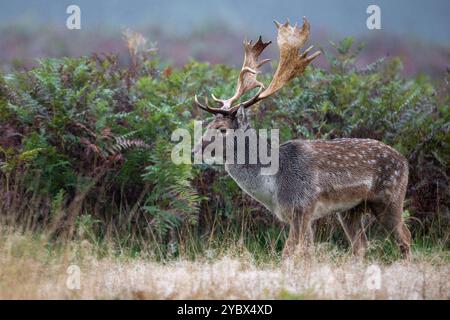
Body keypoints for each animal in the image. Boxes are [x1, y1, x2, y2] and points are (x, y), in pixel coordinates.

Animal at [192, 17, 412, 258]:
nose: (195, 150)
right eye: (208, 124)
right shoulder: (297, 215)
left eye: (222, 128)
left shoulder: (302, 207)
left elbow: (292, 252)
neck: (274, 187)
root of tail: (405, 161)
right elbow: (303, 252)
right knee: (361, 245)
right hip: (350, 210)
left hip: (390, 198)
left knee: (405, 237)